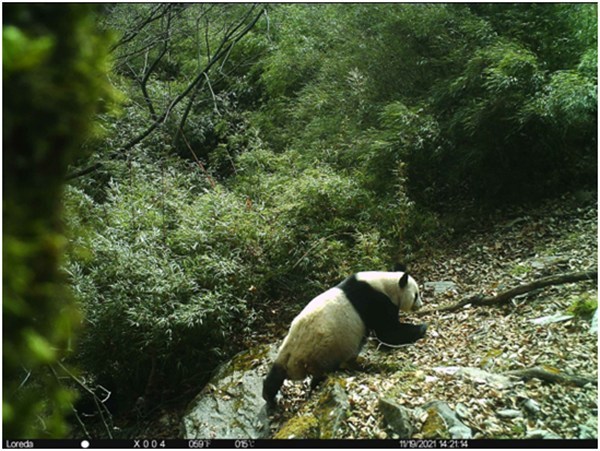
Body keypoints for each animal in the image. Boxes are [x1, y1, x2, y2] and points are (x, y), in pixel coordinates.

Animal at [262, 268, 426, 406]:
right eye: (416, 294)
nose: (421, 305)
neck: (385, 284)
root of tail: (293, 360)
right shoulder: (374, 302)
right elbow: (388, 332)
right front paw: (422, 328)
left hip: (288, 350)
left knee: (275, 375)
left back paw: (269, 397)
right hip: (322, 353)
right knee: (320, 374)